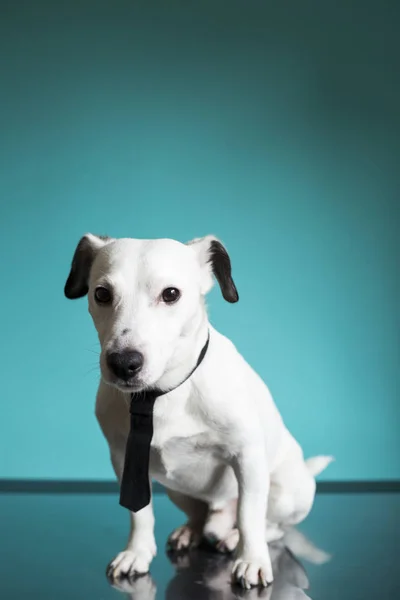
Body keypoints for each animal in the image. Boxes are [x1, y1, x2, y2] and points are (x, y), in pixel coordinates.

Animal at [65, 232, 332, 588]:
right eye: (102, 294)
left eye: (171, 294)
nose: (123, 363)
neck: (159, 395)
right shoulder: (125, 461)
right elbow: (139, 513)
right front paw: (137, 552)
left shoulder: (247, 458)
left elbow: (250, 515)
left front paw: (251, 559)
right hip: (175, 488)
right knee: (198, 514)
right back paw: (191, 531)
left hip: (286, 492)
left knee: (272, 526)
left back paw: (234, 538)